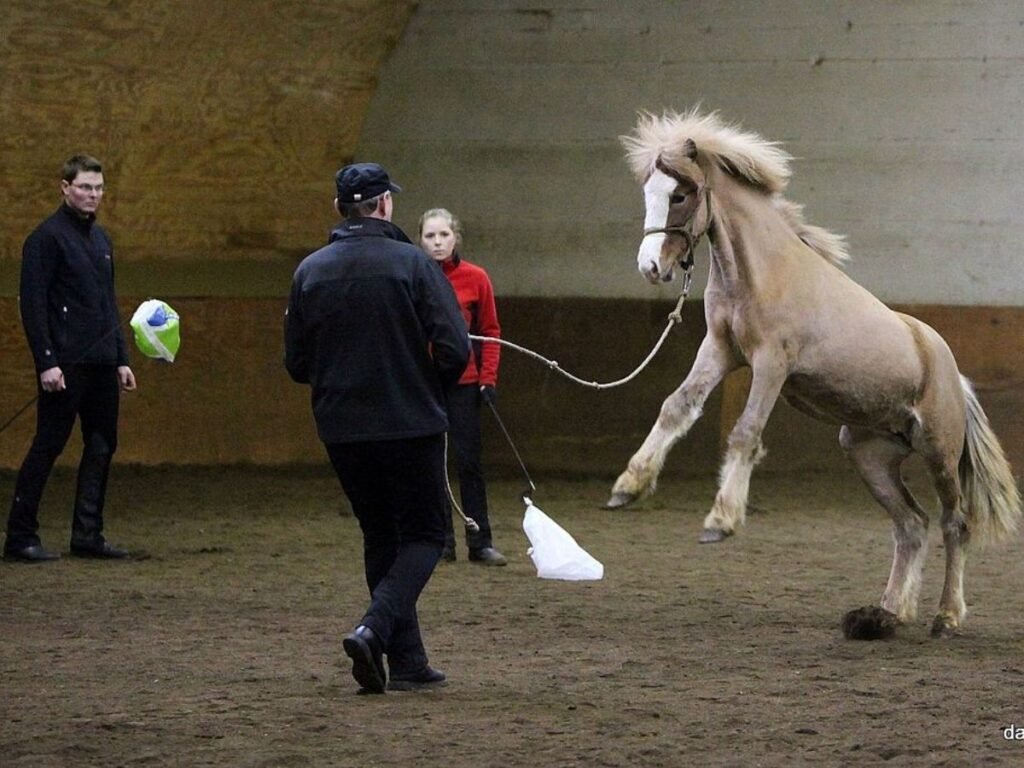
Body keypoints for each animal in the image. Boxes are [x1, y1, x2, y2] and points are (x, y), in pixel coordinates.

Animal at [602, 108, 1019, 638]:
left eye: (680, 194)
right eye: (648, 192)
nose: (651, 266)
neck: (760, 273)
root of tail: (954, 375)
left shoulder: (771, 362)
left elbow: (746, 432)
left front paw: (721, 521)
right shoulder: (720, 350)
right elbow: (676, 407)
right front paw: (628, 487)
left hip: (939, 452)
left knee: (954, 523)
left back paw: (945, 617)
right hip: (870, 456)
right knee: (910, 525)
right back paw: (887, 613)